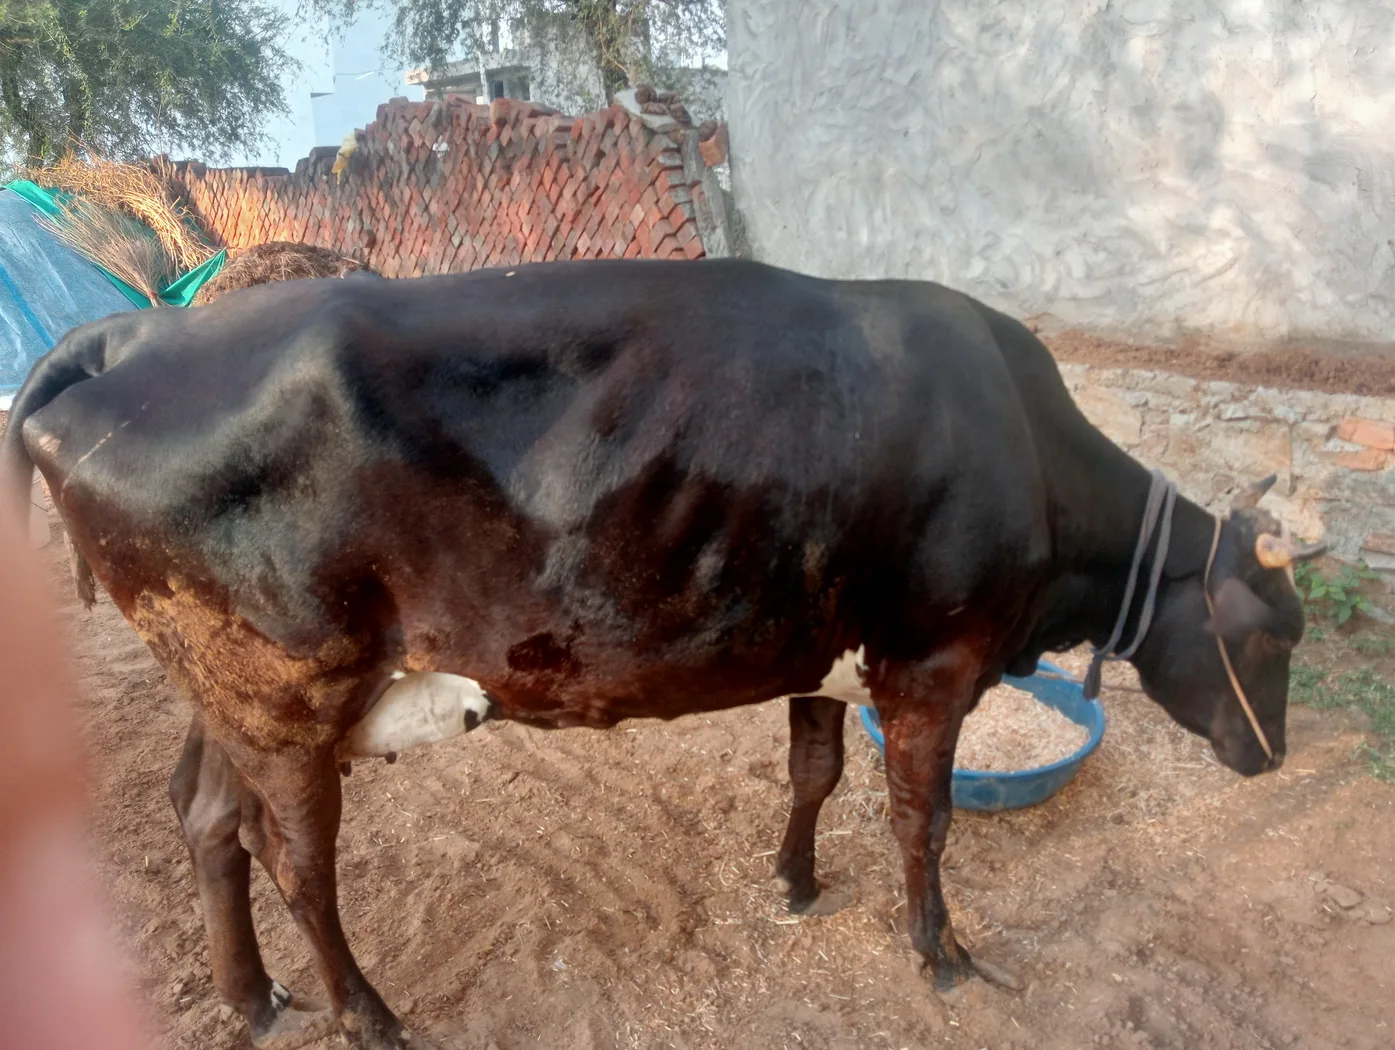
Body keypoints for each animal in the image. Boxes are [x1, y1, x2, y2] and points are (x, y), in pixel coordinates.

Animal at [2, 258, 1323, 1050]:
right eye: (1278, 634)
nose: (1273, 761)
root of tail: (132, 332)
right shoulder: (933, 658)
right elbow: (923, 818)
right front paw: (941, 952)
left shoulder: (824, 644)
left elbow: (815, 773)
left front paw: (795, 882)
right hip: (286, 692)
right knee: (297, 864)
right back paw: (367, 1016)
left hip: (229, 694)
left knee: (204, 818)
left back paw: (253, 995)